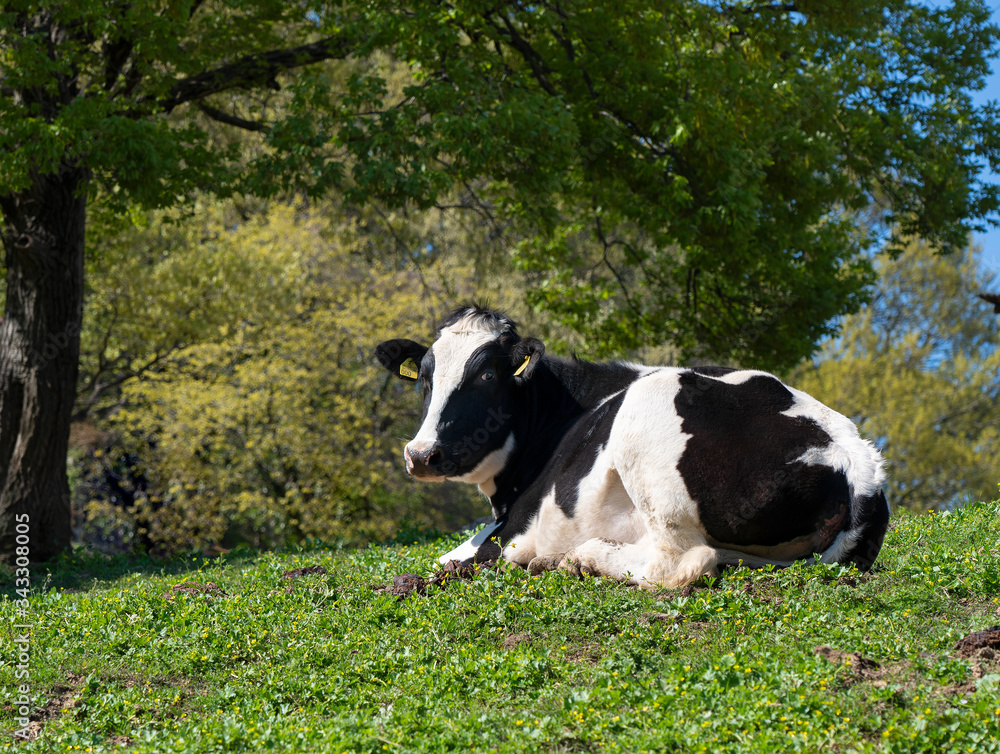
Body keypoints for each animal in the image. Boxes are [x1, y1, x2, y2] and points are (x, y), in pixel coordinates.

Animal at [376, 306, 892, 588]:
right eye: (424, 377)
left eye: (486, 375)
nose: (421, 455)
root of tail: (857, 461)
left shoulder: (508, 532)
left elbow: (454, 558)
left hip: (650, 418)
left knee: (681, 562)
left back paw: (579, 559)